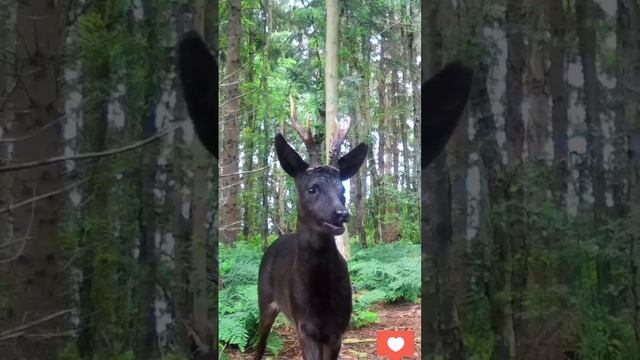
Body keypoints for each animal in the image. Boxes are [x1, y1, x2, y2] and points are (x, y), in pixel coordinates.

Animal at [178, 30, 472, 360]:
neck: (319, 300)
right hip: (264, 299)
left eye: (342, 188)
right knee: (260, 344)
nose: (341, 214)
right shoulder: (305, 327)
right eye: (312, 188)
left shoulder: (337, 329)